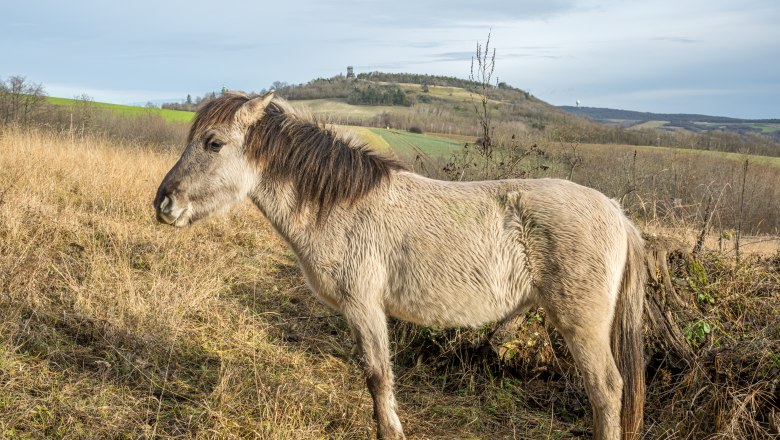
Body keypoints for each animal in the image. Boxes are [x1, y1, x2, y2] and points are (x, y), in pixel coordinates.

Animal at [152, 91, 644, 438]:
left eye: (213, 143)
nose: (163, 203)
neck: (342, 205)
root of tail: (616, 213)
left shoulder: (364, 307)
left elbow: (377, 377)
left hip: (582, 325)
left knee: (606, 391)